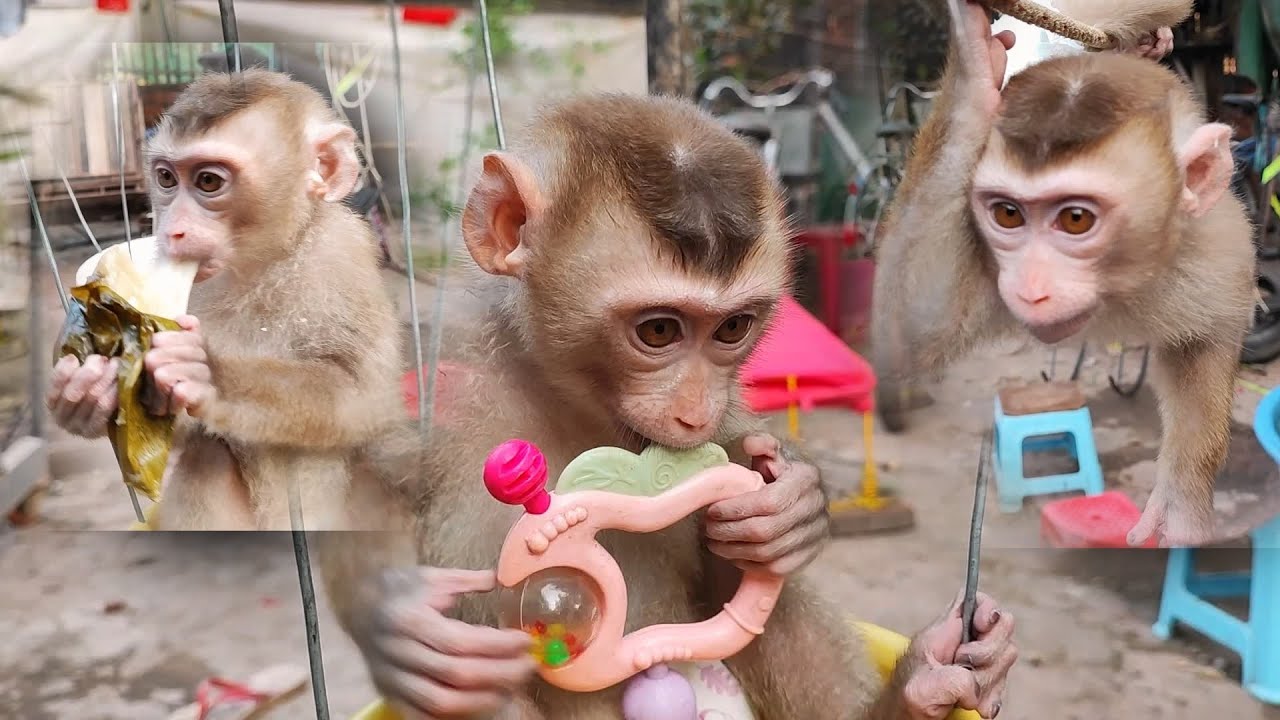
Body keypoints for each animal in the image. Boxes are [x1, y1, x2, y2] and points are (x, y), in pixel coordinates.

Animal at [45, 69, 405, 530]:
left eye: (208, 182)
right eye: (166, 178)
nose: (172, 229)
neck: (260, 266)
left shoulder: (338, 258)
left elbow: (364, 400)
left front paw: (208, 373)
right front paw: (83, 397)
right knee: (207, 453)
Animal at [316, 91, 1019, 720]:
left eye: (733, 328)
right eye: (658, 331)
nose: (694, 413)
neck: (563, 391)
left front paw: (793, 506)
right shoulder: (434, 373)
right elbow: (358, 486)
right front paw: (395, 618)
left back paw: (922, 689)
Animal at [870, 0, 1253, 548]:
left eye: (1075, 219)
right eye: (1007, 214)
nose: (1031, 290)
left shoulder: (1219, 250)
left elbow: (1204, 342)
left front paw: (1182, 507)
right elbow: (905, 341)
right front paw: (974, 72)